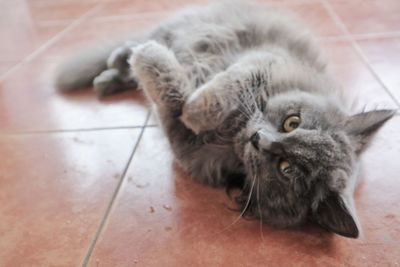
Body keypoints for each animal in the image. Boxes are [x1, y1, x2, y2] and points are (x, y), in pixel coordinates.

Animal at [54, 0, 396, 239]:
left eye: (285, 169)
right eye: (292, 122)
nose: (259, 139)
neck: (234, 130)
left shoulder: (186, 145)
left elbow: (175, 100)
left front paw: (162, 71)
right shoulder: (262, 62)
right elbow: (223, 86)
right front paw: (193, 100)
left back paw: (115, 72)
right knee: (141, 41)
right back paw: (114, 66)